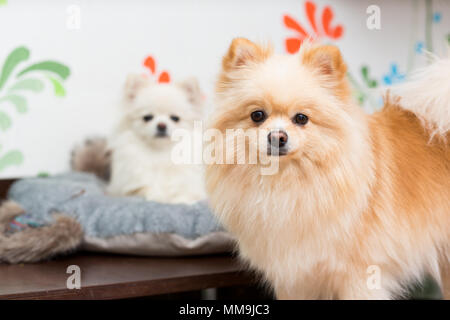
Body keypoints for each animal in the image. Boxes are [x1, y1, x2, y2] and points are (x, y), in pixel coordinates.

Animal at [108, 75, 207, 204]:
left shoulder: (191, 185)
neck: (160, 154)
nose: (161, 125)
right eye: (147, 117)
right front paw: (158, 196)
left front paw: (181, 200)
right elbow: (148, 190)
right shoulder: (131, 188)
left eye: (175, 118)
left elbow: (185, 193)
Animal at [205, 38, 450, 300]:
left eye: (301, 118)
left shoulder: (359, 276)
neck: (285, 184)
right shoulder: (294, 279)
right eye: (257, 115)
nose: (278, 136)